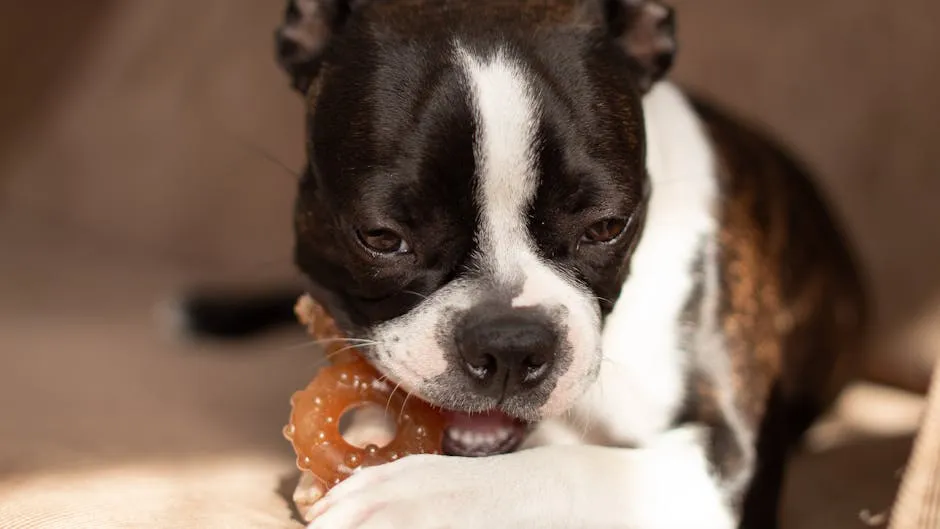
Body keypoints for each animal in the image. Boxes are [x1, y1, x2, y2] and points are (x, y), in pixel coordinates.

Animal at [184, 2, 868, 524]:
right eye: (380, 237)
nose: (510, 343)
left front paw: (419, 498)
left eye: (606, 227)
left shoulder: (728, 462)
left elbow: (581, 469)